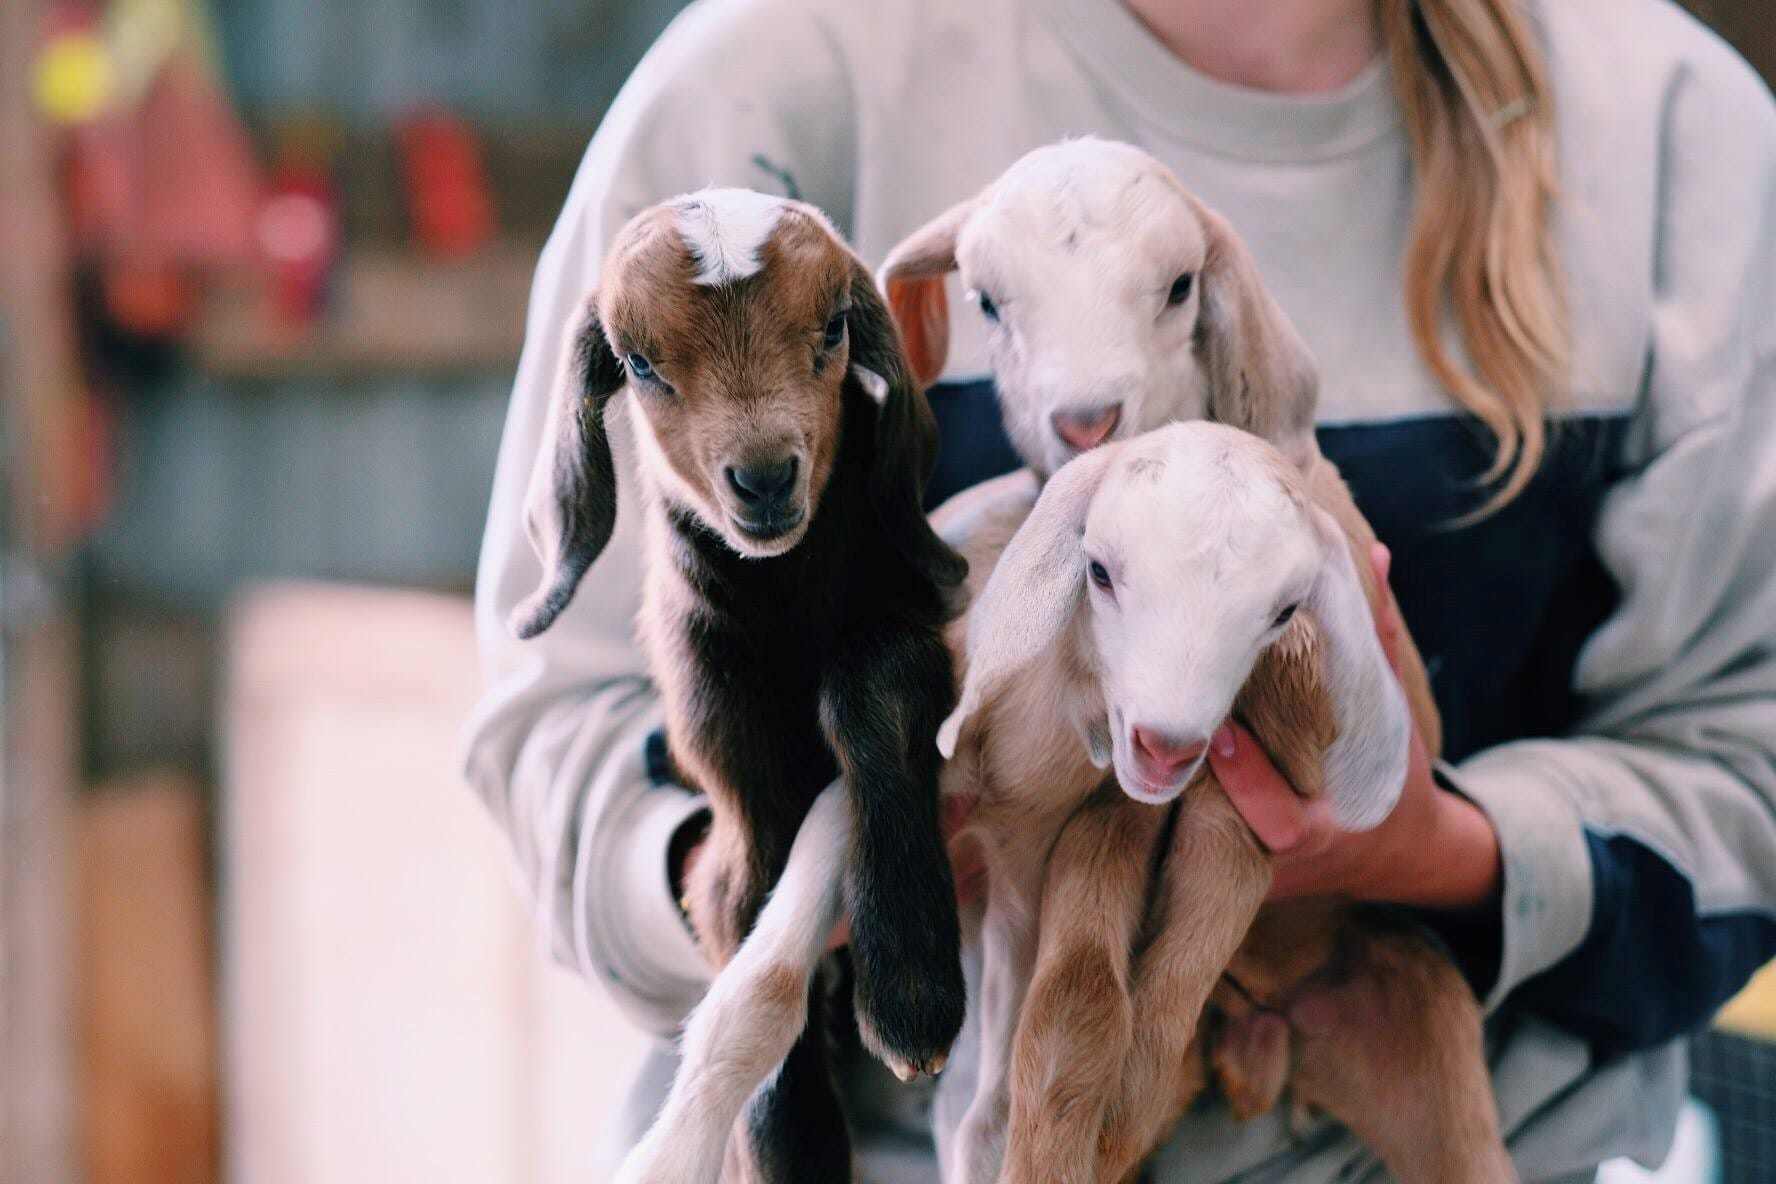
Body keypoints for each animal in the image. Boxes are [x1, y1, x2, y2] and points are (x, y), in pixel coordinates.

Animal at [512, 188, 967, 1183]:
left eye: (835, 326)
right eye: (640, 364)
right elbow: (742, 904)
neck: (787, 604)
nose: (763, 479)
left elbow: (874, 690)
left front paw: (911, 990)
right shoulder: (729, 762)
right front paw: (789, 1141)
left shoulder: (910, 614)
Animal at [886, 140, 1512, 1183]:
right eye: (987, 301)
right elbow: (1076, 998)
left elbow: (1186, 908)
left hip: (1419, 1024)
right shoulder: (1112, 801)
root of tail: (1266, 1035)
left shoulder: (1247, 787)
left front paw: (1106, 1108)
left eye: (1180, 286)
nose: (1086, 421)